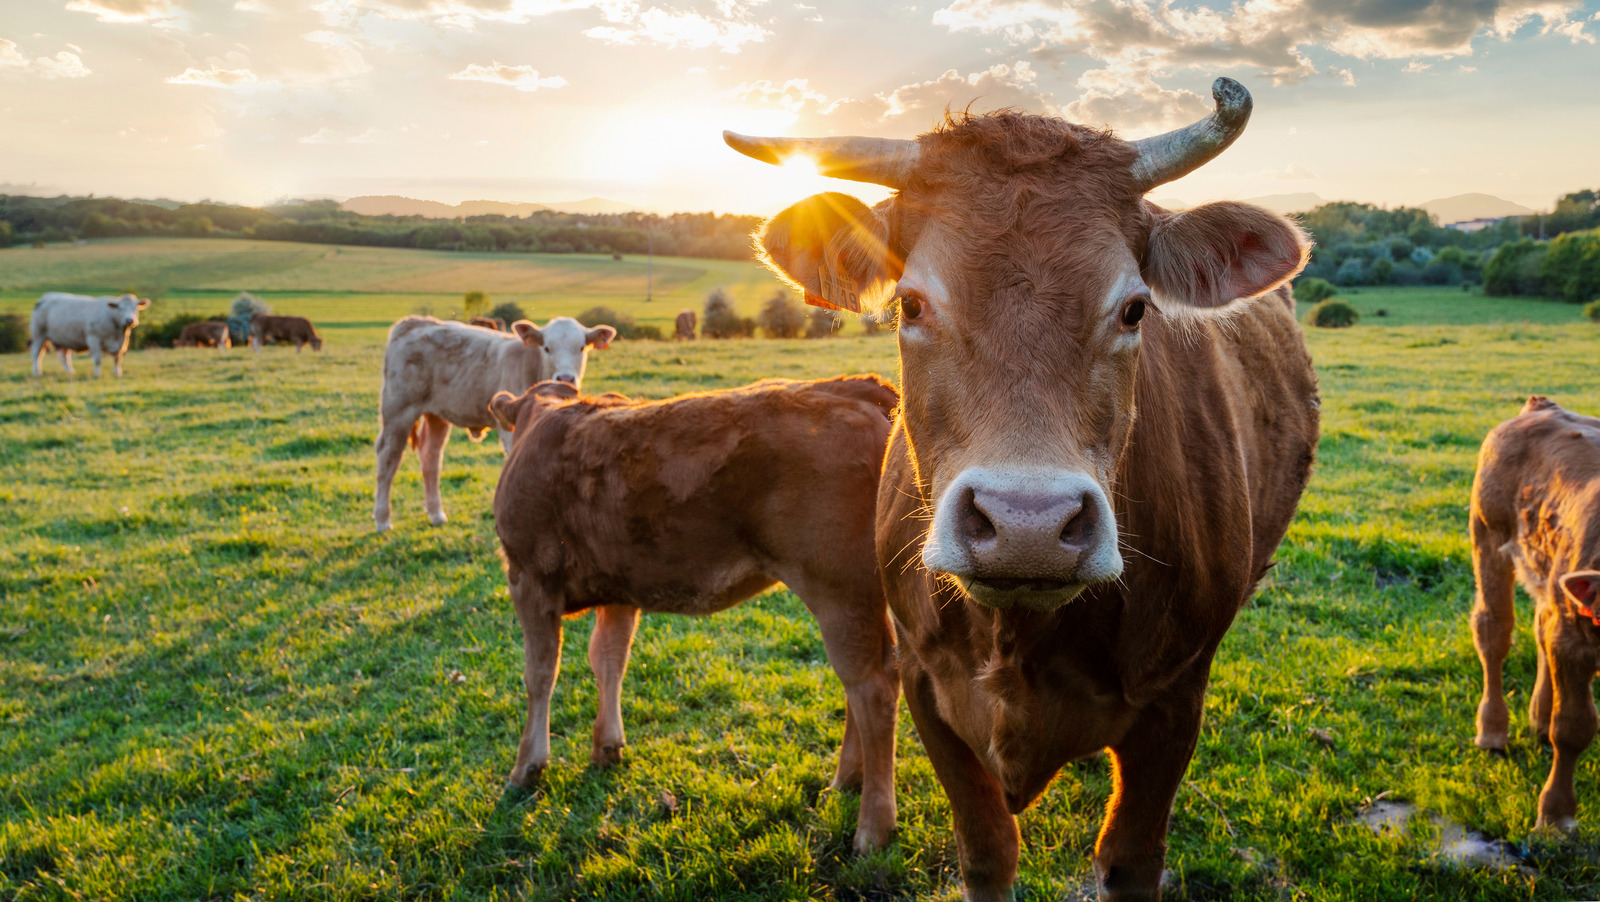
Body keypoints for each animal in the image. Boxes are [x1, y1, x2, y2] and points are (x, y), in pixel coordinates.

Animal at [374, 313, 617, 530]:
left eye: (582, 348)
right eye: (547, 348)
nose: (566, 378)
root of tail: (414, 322)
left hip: (437, 415)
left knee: (431, 457)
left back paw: (436, 515)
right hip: (398, 409)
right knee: (388, 457)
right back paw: (382, 520)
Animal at [486, 374, 908, 850]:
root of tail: (848, 386)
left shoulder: (527, 578)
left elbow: (539, 675)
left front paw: (526, 768)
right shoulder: (618, 590)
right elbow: (608, 660)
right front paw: (606, 747)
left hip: (838, 589)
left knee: (871, 687)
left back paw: (872, 827)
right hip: (861, 594)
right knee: (866, 680)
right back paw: (845, 781)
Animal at [732, 73, 1318, 895]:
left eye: (1134, 308)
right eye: (911, 303)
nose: (1027, 524)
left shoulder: (1175, 703)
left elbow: (1130, 857)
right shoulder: (927, 686)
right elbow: (986, 849)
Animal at [1465, 396, 1600, 831]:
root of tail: (1543, 407)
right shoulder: (1576, 640)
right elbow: (1574, 726)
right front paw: (1556, 815)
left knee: (1542, 628)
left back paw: (1539, 718)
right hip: (1488, 534)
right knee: (1493, 632)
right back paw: (1493, 732)